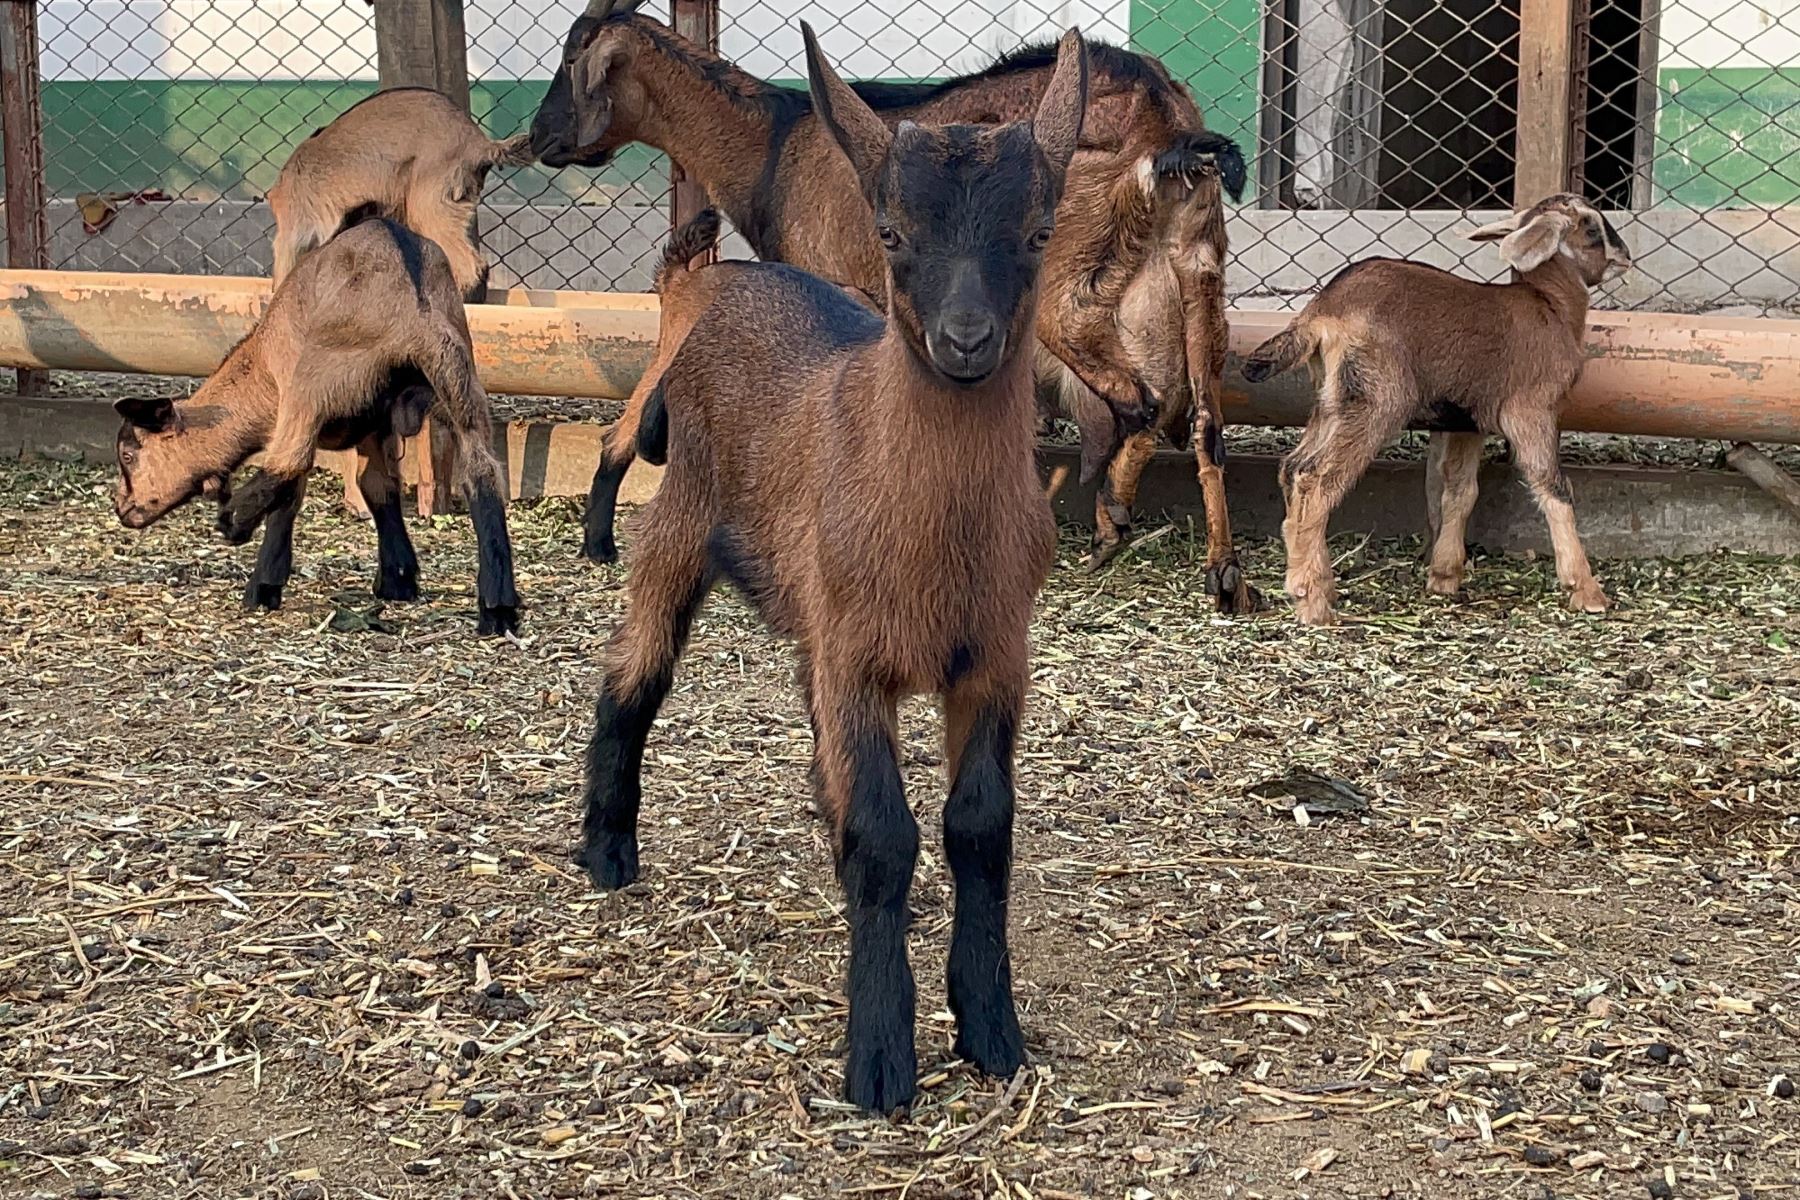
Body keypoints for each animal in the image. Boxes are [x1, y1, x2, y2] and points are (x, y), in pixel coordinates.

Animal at [113, 215, 522, 636]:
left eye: (128, 454)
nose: (121, 506)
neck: (258, 369)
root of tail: (415, 304)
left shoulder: (299, 403)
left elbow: (292, 492)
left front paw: (264, 586)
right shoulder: (373, 429)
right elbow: (376, 486)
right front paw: (398, 579)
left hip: (317, 376)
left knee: (289, 461)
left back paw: (234, 522)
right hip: (461, 379)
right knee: (482, 475)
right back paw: (498, 608)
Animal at [525, 0, 1260, 615]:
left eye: (569, 60)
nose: (538, 140)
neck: (776, 148)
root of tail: (1164, 118)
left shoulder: (844, 289)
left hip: (1070, 291)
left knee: (1141, 402)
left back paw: (1115, 519)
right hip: (1192, 269)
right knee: (1197, 419)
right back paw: (1218, 572)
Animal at [579, 25, 1080, 1115]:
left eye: (1038, 232)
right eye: (891, 232)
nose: (966, 341)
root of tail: (721, 284)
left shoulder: (995, 657)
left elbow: (981, 828)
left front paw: (990, 1028)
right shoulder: (860, 658)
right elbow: (888, 835)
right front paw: (882, 1057)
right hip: (681, 519)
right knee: (632, 672)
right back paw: (603, 849)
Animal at [1238, 192, 1634, 626]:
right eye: (1591, 227)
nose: (1625, 256)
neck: (1550, 307)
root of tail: (1322, 313)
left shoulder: (1466, 420)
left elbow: (1460, 490)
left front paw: (1444, 577)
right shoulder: (1530, 411)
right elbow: (1553, 485)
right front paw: (1586, 591)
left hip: (1334, 401)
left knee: (1292, 467)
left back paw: (1319, 582)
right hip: (1377, 400)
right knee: (1316, 478)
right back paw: (1311, 601)